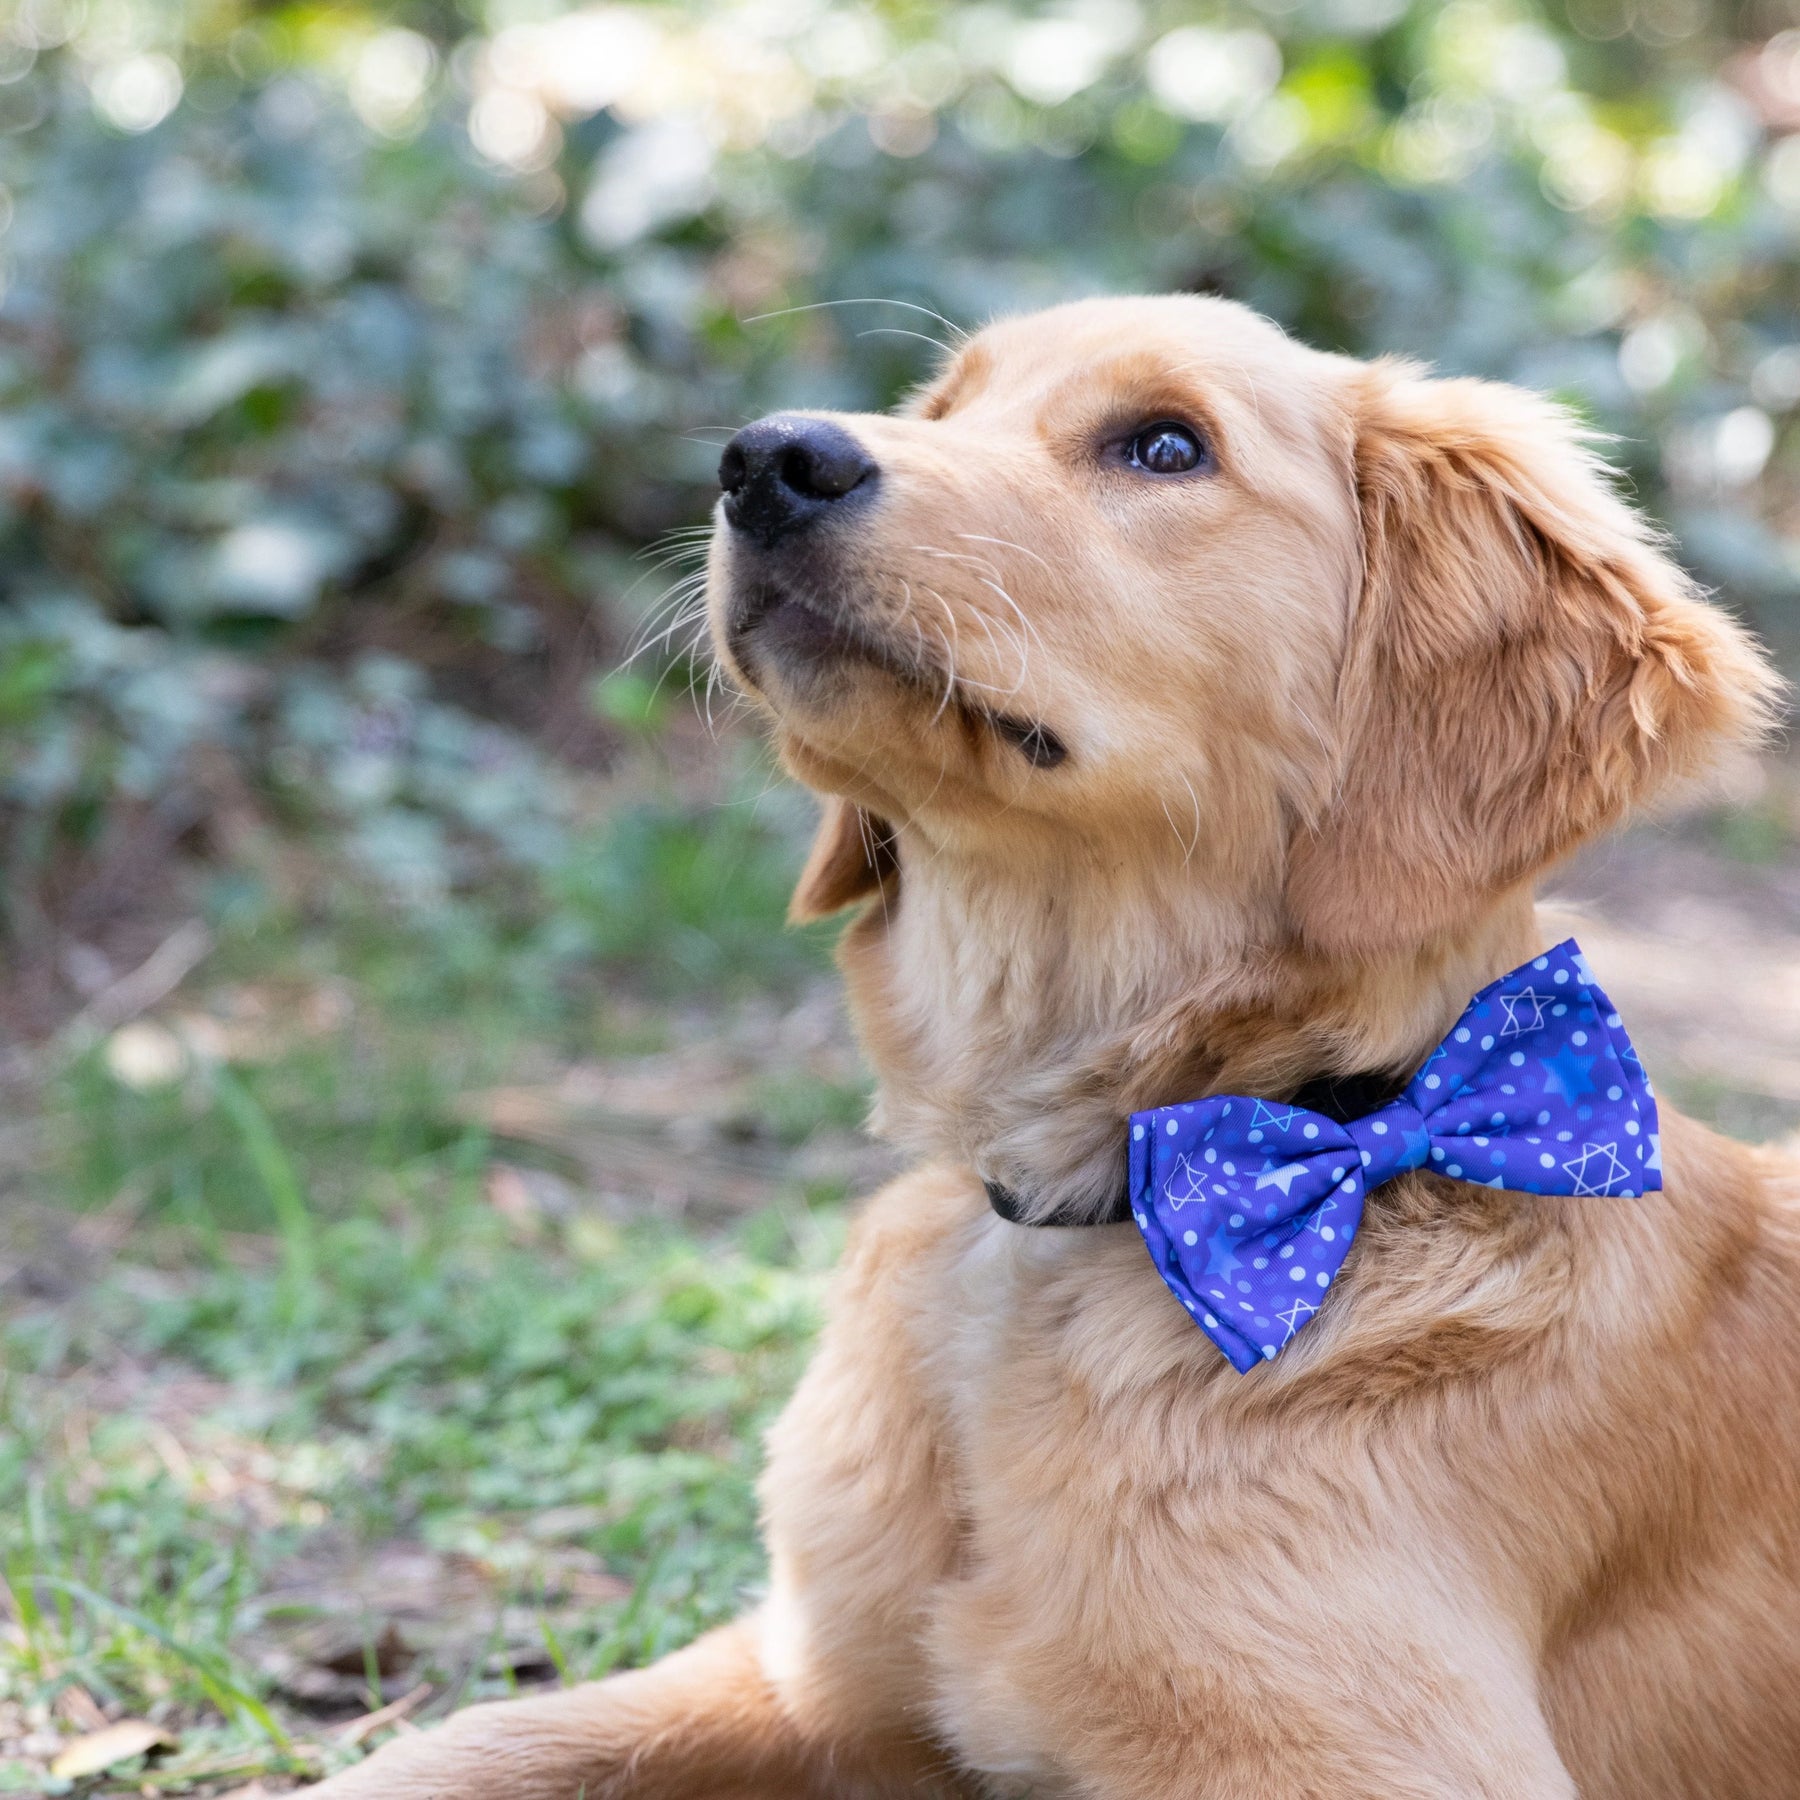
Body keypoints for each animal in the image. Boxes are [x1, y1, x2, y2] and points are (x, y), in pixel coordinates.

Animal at [313, 298, 1800, 1800]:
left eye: (1165, 446)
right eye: (947, 407)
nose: (766, 459)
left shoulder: (1381, 1758)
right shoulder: (807, 1675)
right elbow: (461, 1746)